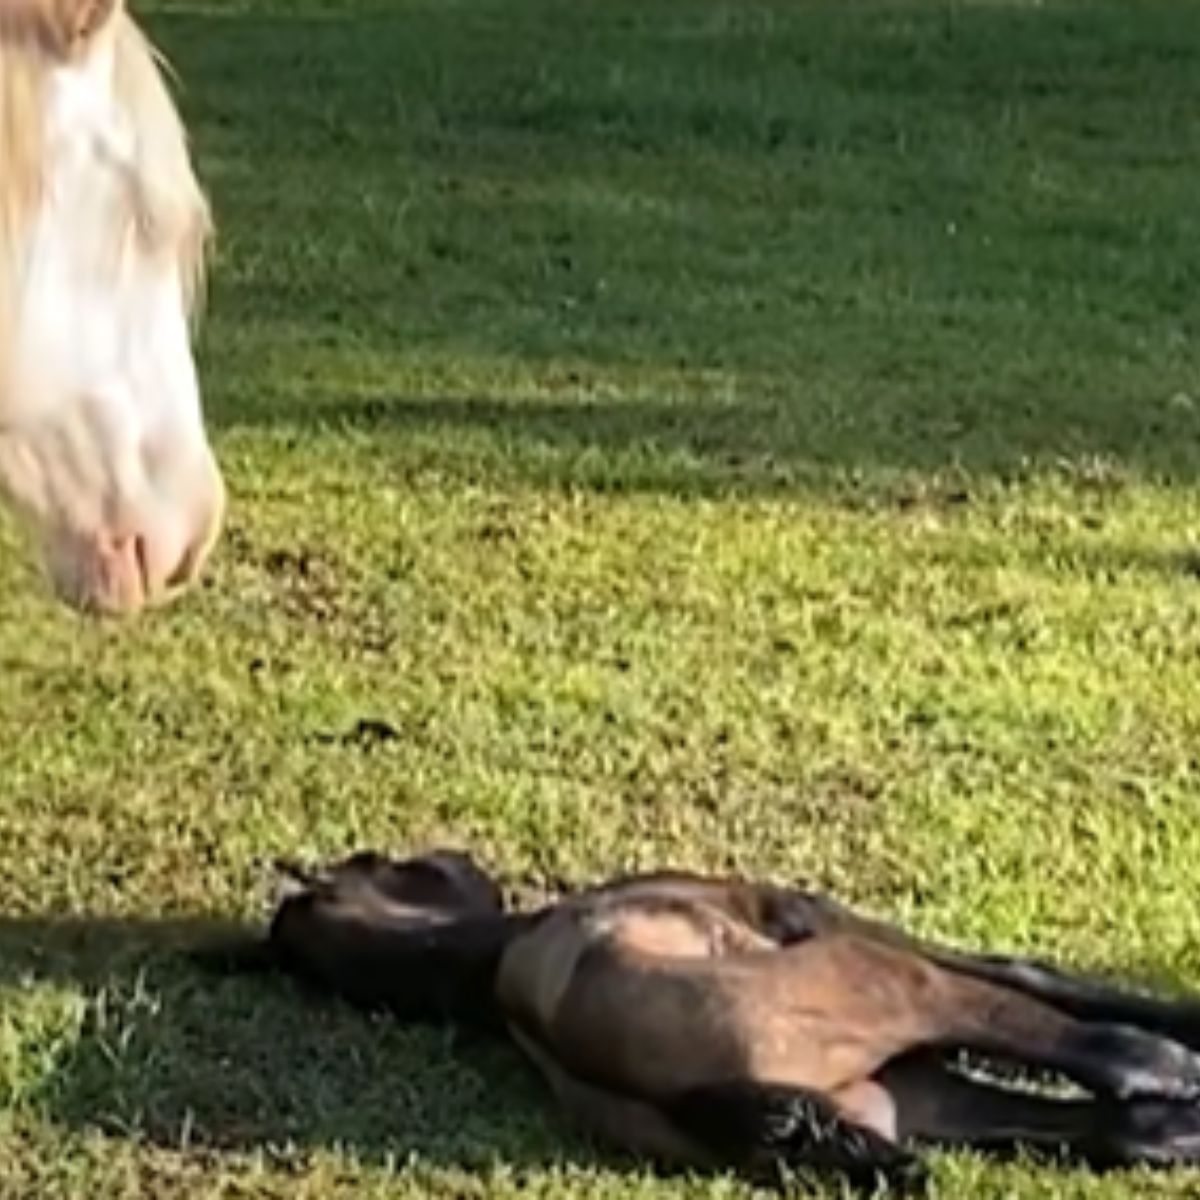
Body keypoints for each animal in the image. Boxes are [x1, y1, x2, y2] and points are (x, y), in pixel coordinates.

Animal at [199, 854, 1200, 1190]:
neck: (488, 963)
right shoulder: (823, 921)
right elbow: (1039, 976)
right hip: (886, 987)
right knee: (1096, 1055)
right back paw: (1171, 1066)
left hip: (905, 1098)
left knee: (1116, 1128)